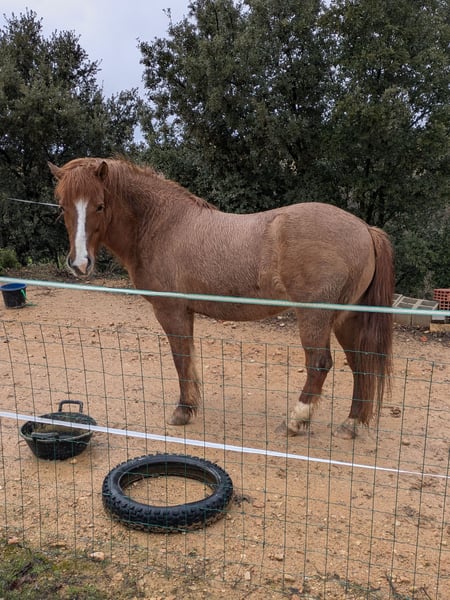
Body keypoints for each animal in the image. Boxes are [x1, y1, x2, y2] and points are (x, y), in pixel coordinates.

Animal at [49, 158, 394, 439]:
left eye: (99, 205)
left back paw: (295, 422)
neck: (162, 226)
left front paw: (183, 411)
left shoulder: (170, 310)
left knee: (319, 364)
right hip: (347, 318)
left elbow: (180, 357)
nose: (80, 263)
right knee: (360, 365)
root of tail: (365, 229)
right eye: (63, 206)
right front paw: (191, 405)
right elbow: (188, 357)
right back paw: (351, 424)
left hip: (315, 317)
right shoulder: (185, 312)